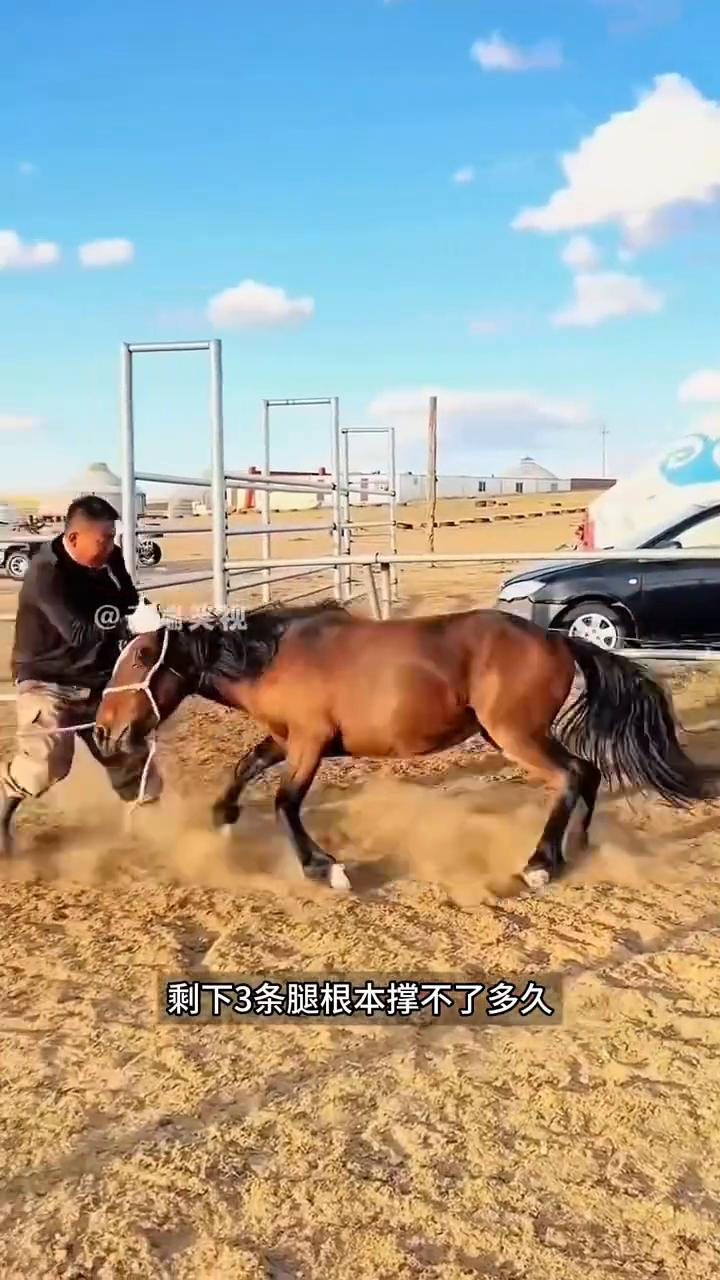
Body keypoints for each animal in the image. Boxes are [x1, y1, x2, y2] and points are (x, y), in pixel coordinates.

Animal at [91, 599, 718, 893]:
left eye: (142, 657)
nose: (103, 730)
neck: (273, 656)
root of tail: (557, 638)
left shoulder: (311, 742)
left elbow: (286, 803)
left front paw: (326, 870)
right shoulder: (286, 739)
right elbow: (246, 766)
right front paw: (220, 820)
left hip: (515, 735)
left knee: (570, 776)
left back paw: (540, 865)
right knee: (586, 773)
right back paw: (577, 849)